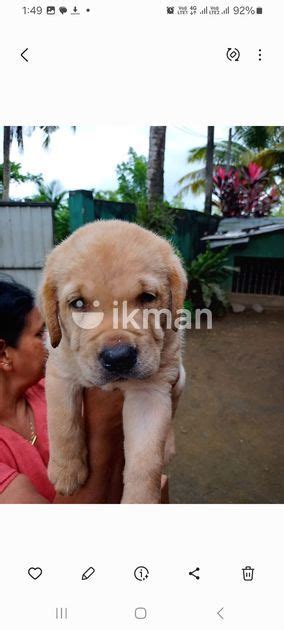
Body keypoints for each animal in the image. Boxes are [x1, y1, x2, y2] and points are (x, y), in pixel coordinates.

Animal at [39, 220, 186, 506]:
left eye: (147, 297)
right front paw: (66, 471)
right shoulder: (60, 371)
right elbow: (63, 421)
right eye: (78, 303)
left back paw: (169, 445)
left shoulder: (151, 393)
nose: (118, 358)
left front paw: (140, 502)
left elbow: (146, 461)